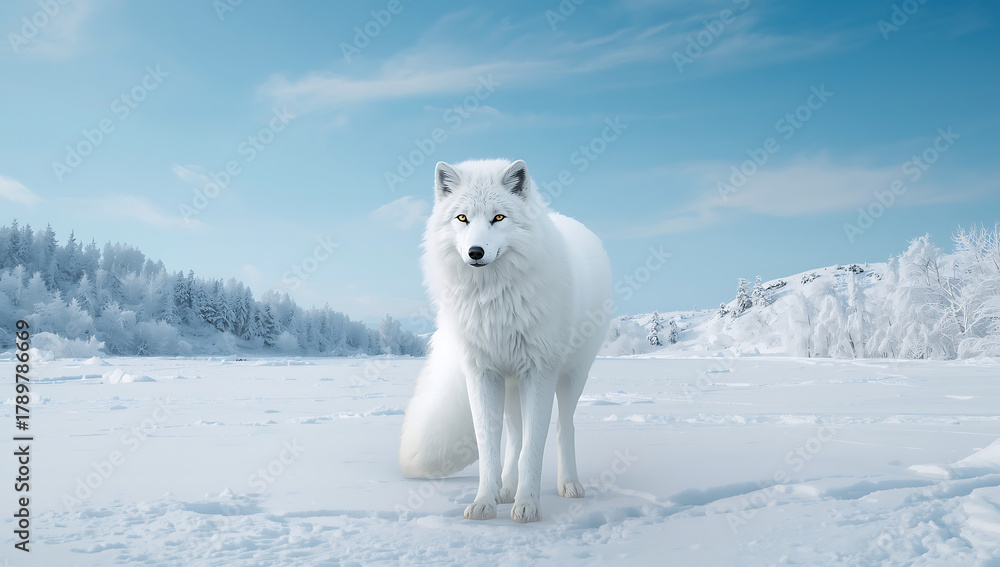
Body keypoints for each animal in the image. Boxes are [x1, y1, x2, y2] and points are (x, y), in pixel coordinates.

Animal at [399, 158, 613, 523]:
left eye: (498, 218)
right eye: (462, 218)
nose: (475, 252)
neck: (493, 300)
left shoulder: (539, 372)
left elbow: (534, 446)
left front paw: (527, 506)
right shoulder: (482, 372)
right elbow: (490, 443)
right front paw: (485, 502)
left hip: (571, 376)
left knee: (563, 427)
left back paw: (568, 484)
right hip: (510, 383)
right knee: (514, 434)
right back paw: (506, 488)